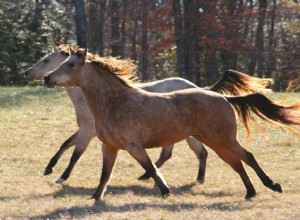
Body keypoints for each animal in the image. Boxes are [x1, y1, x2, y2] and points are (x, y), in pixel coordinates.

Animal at [44, 47, 300, 200]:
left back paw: (271, 185)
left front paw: (165, 191)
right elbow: (105, 175)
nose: (47, 78)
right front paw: (95, 197)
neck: (116, 102)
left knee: (247, 157)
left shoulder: (133, 146)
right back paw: (250, 192)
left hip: (223, 139)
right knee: (236, 163)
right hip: (215, 141)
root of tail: (224, 98)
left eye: (70, 65)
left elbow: (150, 167)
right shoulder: (109, 146)